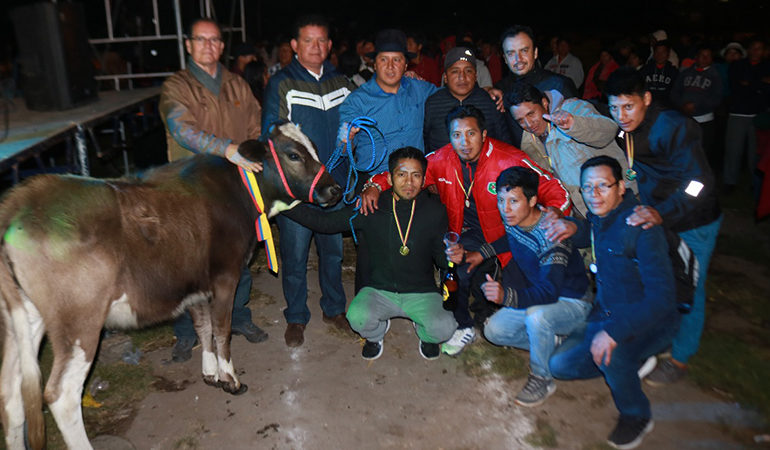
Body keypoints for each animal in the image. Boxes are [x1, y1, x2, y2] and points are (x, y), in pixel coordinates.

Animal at [0, 121, 340, 448]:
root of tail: (21, 199)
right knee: (62, 395)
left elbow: (203, 327)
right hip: (79, 321)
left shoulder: (195, 284)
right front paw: (231, 379)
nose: (333, 188)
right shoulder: (225, 277)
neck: (240, 194)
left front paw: (210, 373)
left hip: (25, 321)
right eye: (293, 154)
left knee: (11, 395)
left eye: (314, 147)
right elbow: (222, 329)